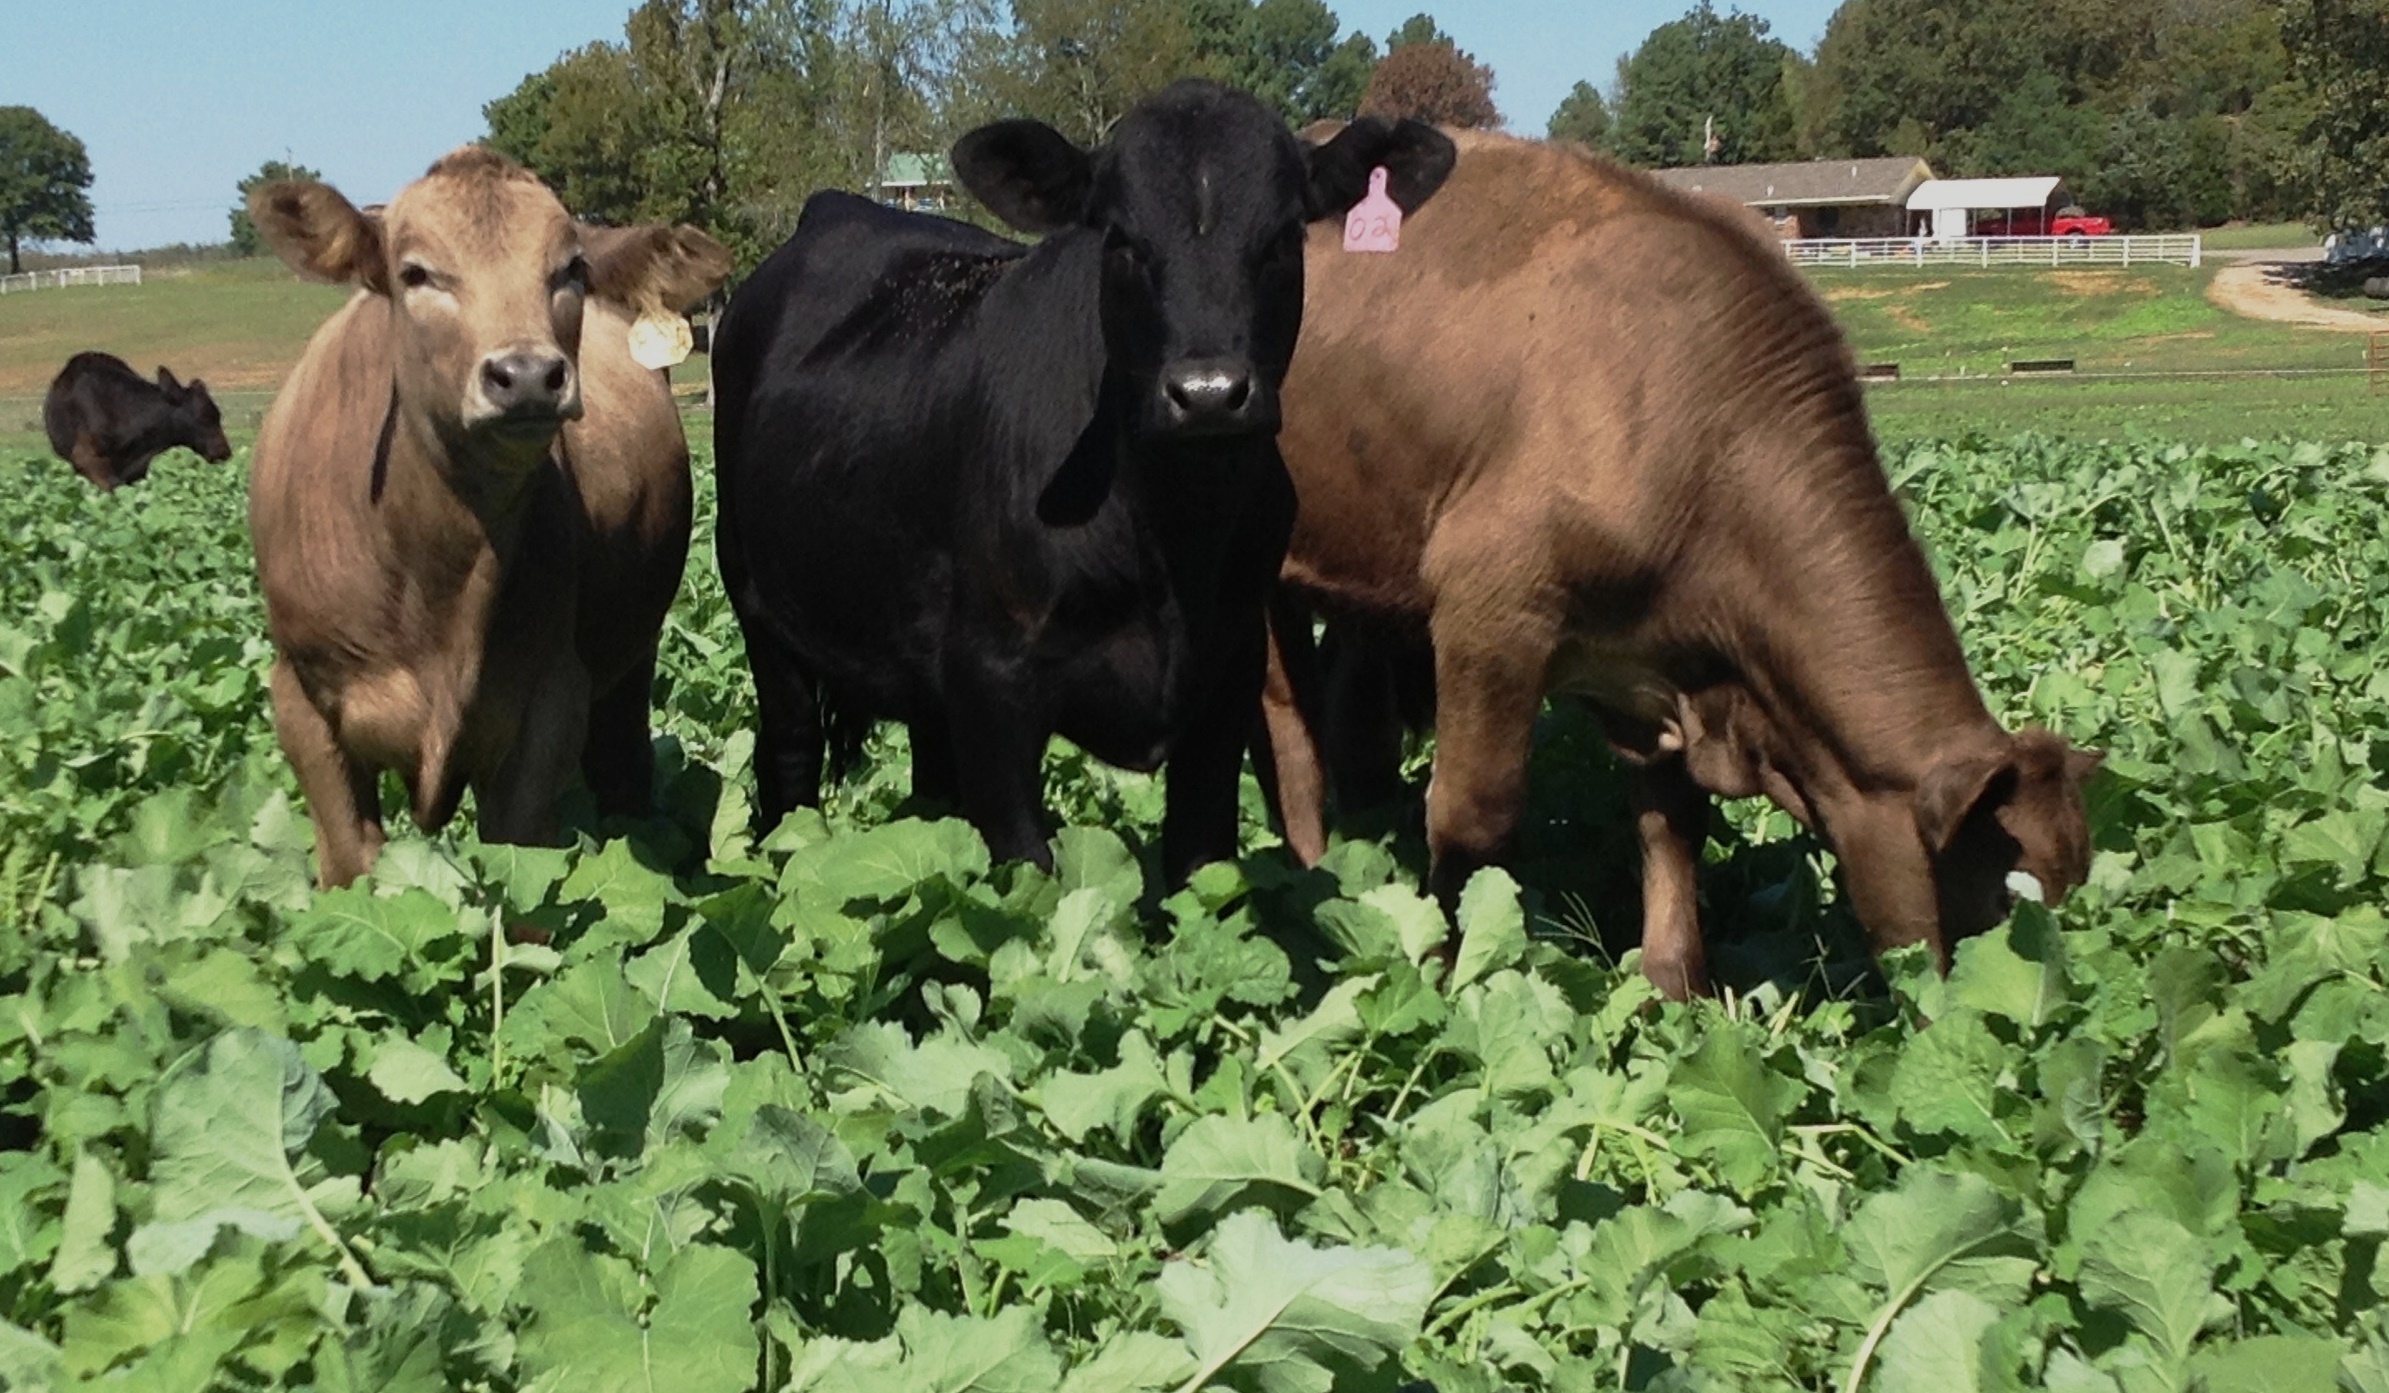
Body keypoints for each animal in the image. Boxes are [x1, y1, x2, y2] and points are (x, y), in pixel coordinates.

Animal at [243, 149, 731, 884]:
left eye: (571, 269)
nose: (526, 374)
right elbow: (352, 868)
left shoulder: (547, 707)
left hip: (628, 669)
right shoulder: (302, 706)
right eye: (415, 272)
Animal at [707, 78, 1452, 884]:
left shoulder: (1225, 679)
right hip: (757, 606)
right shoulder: (991, 685)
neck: (1172, 539)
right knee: (790, 755)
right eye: (1119, 240)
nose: (1208, 393)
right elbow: (1025, 877)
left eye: (1286, 236)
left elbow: (1199, 866)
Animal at [1261, 130, 2102, 998]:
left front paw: (1673, 982)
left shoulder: (1655, 663)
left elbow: (1671, 823)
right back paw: (1309, 872)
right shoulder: (1490, 614)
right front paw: (1454, 976)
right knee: (1290, 729)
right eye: (2010, 893)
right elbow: (1473, 817)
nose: (2041, 1016)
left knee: (1348, 718)